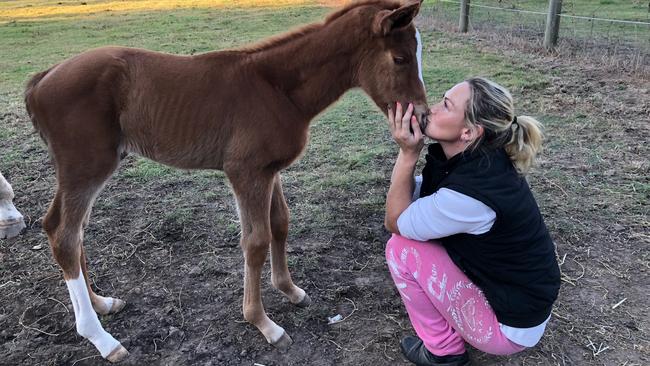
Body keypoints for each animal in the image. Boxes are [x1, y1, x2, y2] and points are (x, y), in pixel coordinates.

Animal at [22, 0, 428, 360]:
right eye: (400, 58)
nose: (422, 118)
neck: (277, 88)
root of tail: (42, 78)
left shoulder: (269, 170)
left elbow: (280, 224)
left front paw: (291, 291)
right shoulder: (245, 172)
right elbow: (255, 241)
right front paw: (264, 324)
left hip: (84, 171)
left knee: (66, 229)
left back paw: (102, 303)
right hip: (86, 167)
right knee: (64, 236)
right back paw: (101, 339)